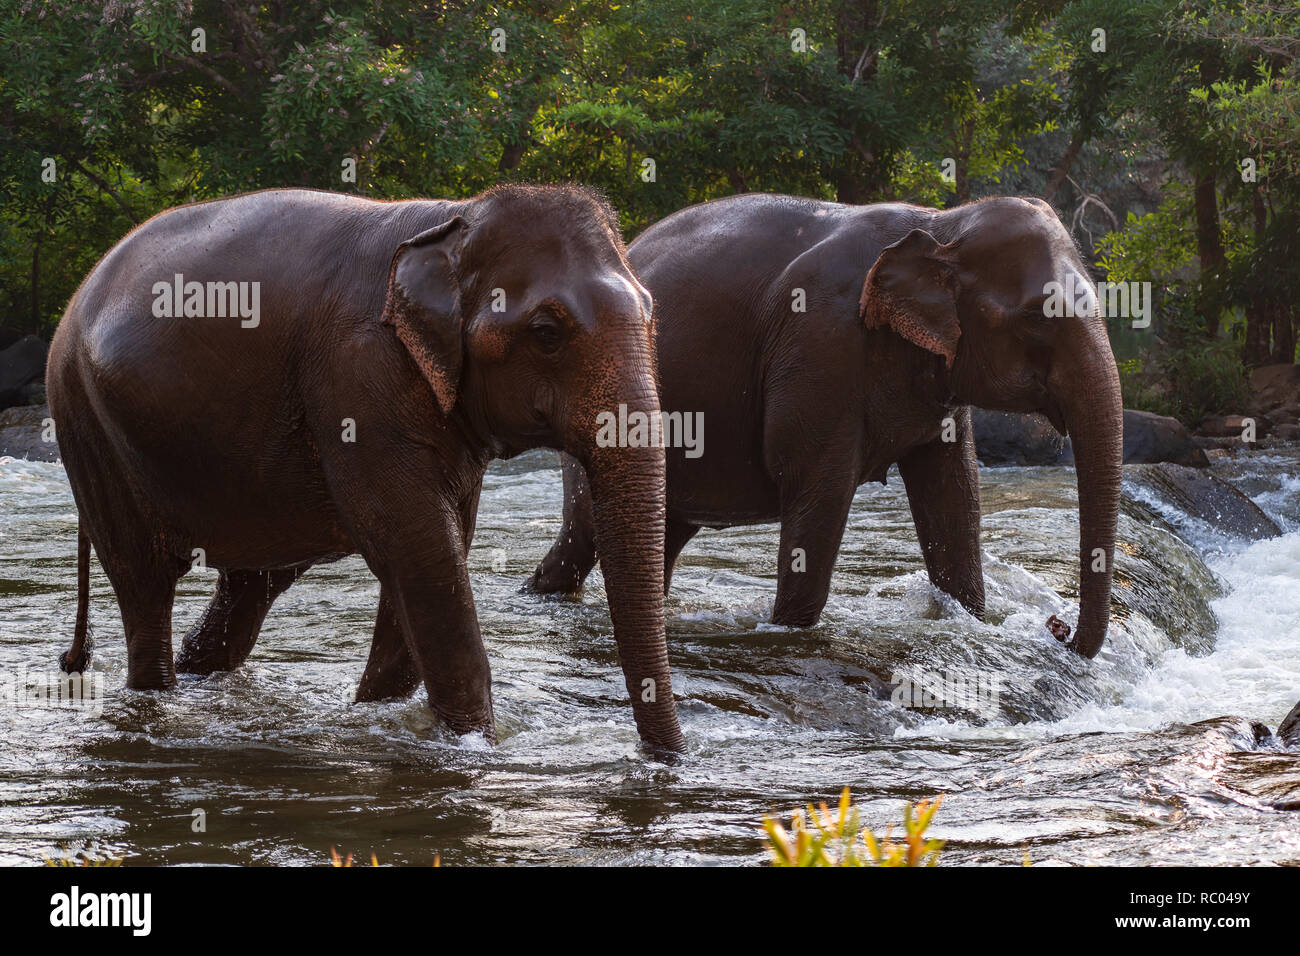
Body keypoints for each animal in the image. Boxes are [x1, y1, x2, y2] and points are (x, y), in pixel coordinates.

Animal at [44, 184, 686, 754]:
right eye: (547, 333)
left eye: (654, 319)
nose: (667, 760)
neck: (456, 218)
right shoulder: (361, 376)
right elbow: (417, 549)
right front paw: (477, 746)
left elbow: (432, 551)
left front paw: (376, 713)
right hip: (86, 426)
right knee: (145, 585)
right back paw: (157, 694)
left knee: (249, 589)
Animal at [527, 195, 1128, 658]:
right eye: (1035, 317)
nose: (1057, 628)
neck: (942, 223)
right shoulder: (820, 347)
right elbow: (819, 488)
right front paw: (787, 634)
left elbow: (954, 494)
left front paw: (971, 621)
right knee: (584, 536)